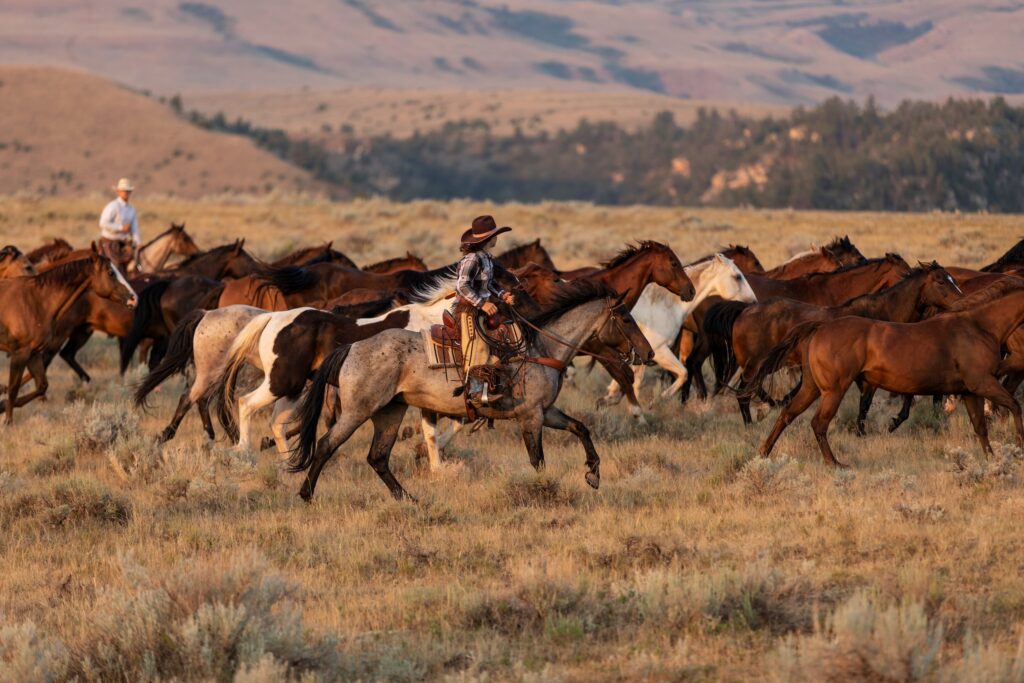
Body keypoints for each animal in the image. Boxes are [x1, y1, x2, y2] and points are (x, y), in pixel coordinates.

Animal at [0, 247, 136, 423]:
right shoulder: (20, 353)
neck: (36, 301)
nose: (133, 298)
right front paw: (7, 422)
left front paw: (1, 406)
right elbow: (13, 388)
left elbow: (41, 386)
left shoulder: (33, 353)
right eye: (110, 272)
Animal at [289, 281, 651, 501]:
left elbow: (581, 428)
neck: (539, 348)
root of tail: (351, 347)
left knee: (378, 457)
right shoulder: (531, 416)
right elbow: (538, 459)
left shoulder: (546, 412)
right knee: (326, 445)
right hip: (357, 411)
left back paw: (408, 498)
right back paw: (306, 494)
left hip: (390, 412)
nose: (647, 353)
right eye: (626, 318)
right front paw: (544, 491)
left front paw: (593, 474)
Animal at [601, 254, 756, 416]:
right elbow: (683, 373)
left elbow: (633, 383)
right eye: (737, 277)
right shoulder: (658, 351)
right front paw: (657, 400)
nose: (754, 301)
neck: (665, 307)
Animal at [701, 262, 964, 427]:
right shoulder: (869, 377)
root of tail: (744, 309)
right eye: (941, 281)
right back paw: (754, 420)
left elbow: (904, 397)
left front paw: (893, 422)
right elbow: (866, 404)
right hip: (755, 365)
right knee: (745, 392)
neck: (880, 314)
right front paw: (866, 430)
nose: (962, 300)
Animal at [747, 279, 1024, 466]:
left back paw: (763, 454)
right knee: (818, 423)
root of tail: (820, 327)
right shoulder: (983, 383)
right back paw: (834, 464)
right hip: (834, 390)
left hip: (813, 387)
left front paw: (992, 459)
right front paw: (1018, 450)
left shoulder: (970, 391)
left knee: (787, 414)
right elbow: (1015, 406)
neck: (978, 327)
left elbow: (980, 427)